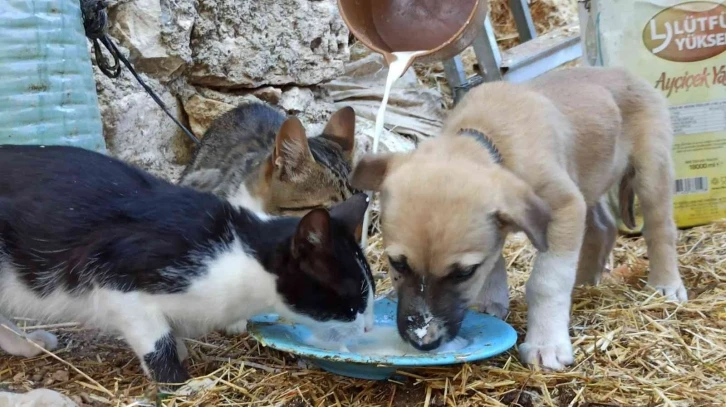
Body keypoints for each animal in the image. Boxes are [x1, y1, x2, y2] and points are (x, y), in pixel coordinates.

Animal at [0, 146, 376, 386]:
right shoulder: (116, 279)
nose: (370, 328)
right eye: (352, 303)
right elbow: (158, 341)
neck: (240, 254)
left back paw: (27, 344)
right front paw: (180, 384)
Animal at [352, 67, 688, 370]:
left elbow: (546, 282)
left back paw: (665, 284)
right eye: (397, 264)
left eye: (464, 273)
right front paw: (490, 302)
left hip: (650, 172)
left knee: (660, 230)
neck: (488, 135)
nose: (424, 342)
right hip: (587, 184)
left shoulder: (563, 208)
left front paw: (546, 345)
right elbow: (495, 257)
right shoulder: (558, 206)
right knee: (603, 228)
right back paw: (583, 283)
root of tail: (627, 74)